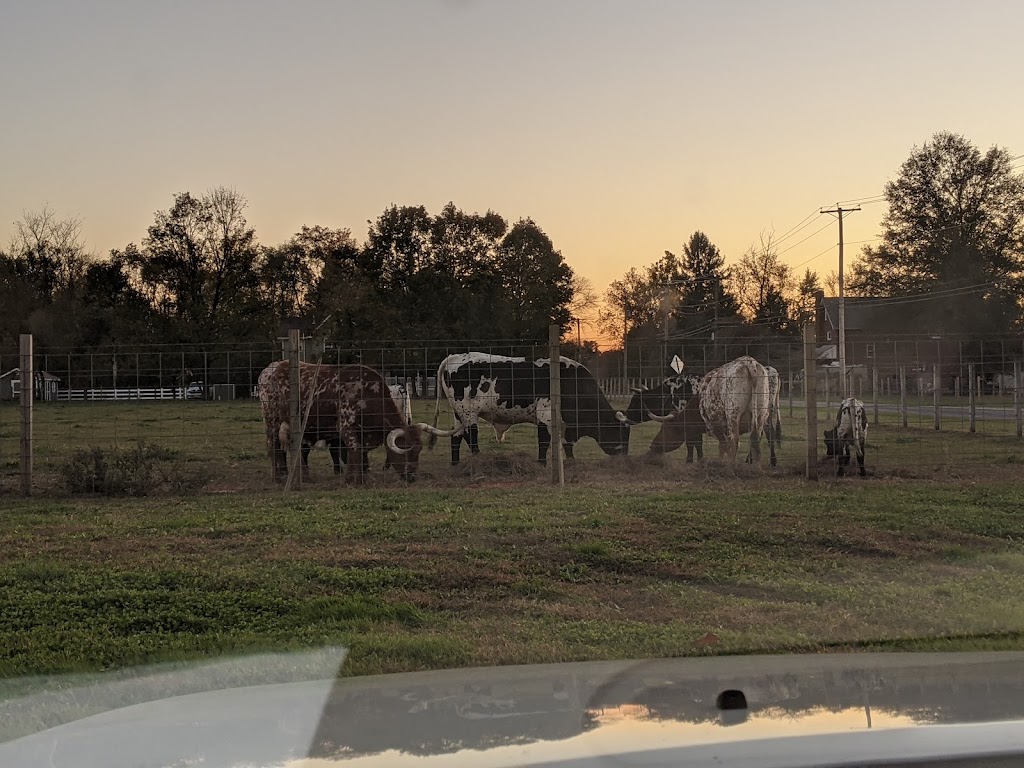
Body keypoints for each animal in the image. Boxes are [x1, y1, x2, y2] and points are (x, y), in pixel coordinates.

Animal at [260, 362, 460, 487]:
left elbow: (360, 455)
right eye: (404, 449)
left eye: (418, 451)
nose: (411, 476)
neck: (367, 394)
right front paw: (352, 480)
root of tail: (273, 370)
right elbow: (355, 453)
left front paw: (360, 479)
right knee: (274, 447)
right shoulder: (346, 429)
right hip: (272, 422)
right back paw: (278, 478)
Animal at [425, 354, 630, 466]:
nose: (624, 457)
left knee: (456, 437)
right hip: (468, 413)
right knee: (471, 437)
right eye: (618, 433)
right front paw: (542, 463)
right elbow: (544, 443)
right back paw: (479, 460)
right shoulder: (545, 417)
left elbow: (566, 444)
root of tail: (455, 357)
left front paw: (571, 461)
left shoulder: (566, 425)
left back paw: (456, 464)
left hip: (459, 414)